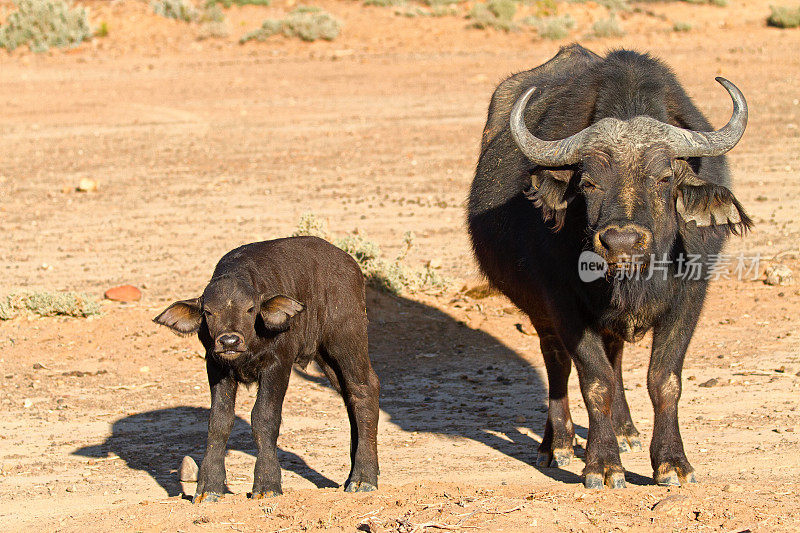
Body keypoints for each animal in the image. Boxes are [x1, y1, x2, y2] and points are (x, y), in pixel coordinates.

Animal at [158, 235, 382, 500]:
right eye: (209, 312)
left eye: (250, 309)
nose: (229, 341)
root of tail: (351, 265)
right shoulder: (216, 367)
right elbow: (219, 421)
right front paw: (208, 488)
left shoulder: (278, 364)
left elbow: (264, 417)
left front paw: (267, 484)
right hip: (325, 357)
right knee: (349, 395)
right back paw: (355, 473)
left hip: (345, 338)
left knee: (364, 389)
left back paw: (363, 479)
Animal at [468, 43, 752, 488]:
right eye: (588, 182)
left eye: (665, 177)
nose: (621, 241)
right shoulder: (563, 303)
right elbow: (594, 379)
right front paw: (602, 463)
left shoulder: (690, 297)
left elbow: (664, 380)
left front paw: (672, 462)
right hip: (539, 313)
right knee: (557, 365)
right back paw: (558, 444)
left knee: (615, 356)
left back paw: (625, 430)